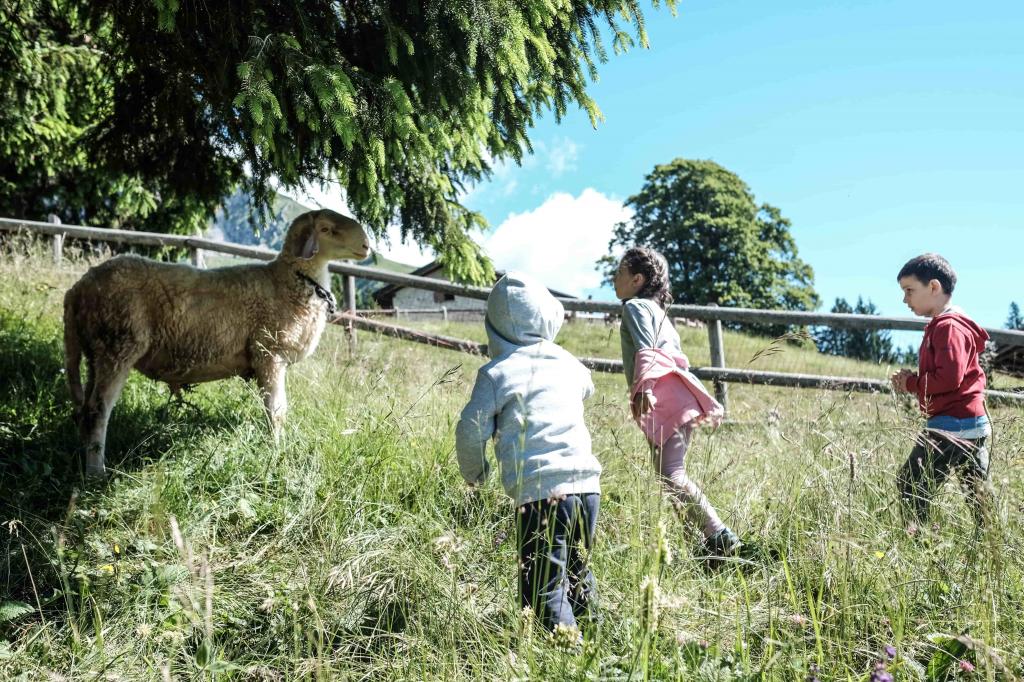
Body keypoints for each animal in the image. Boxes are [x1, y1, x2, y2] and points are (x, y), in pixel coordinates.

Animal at [61, 206, 370, 473]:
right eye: (327, 229)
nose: (367, 245)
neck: (289, 281)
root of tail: (76, 290)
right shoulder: (269, 353)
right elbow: (277, 411)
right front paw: (277, 450)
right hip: (117, 344)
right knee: (97, 411)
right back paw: (96, 473)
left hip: (96, 351)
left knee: (85, 409)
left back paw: (83, 456)